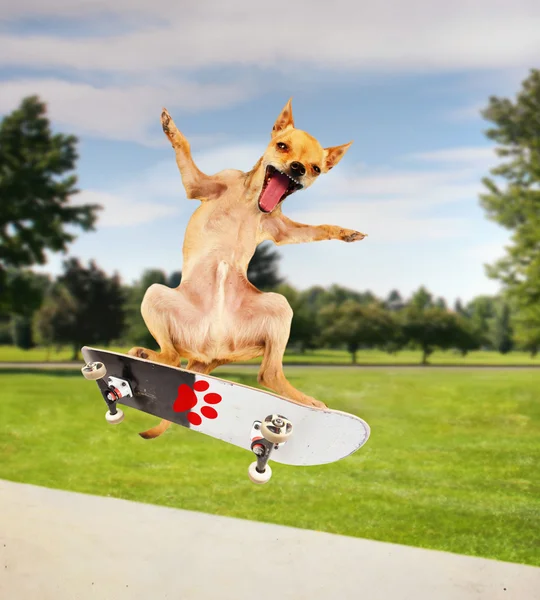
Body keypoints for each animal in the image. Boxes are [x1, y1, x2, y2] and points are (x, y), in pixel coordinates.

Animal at [130, 96, 368, 438]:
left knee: (266, 374)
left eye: (315, 169)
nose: (297, 168)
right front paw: (170, 127)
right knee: (173, 356)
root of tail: (210, 355)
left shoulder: (282, 231)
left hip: (278, 309)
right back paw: (147, 354)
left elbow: (318, 227)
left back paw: (308, 403)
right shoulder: (198, 186)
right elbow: (184, 146)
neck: (250, 199)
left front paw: (345, 232)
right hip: (154, 295)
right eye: (282, 146)